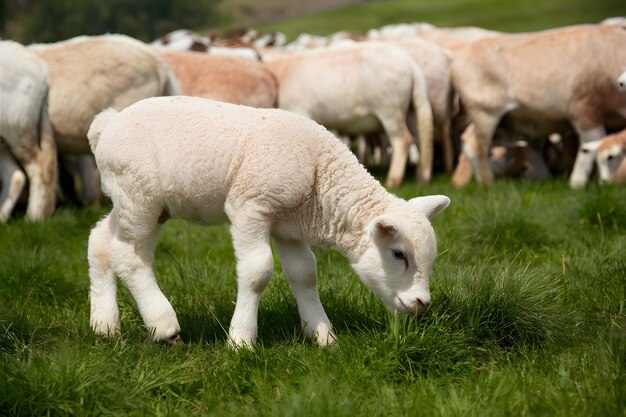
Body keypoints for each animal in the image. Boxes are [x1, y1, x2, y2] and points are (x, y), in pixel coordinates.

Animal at [86, 96, 448, 346]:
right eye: (398, 254)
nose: (422, 304)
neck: (320, 177)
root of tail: (107, 124)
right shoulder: (250, 208)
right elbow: (257, 272)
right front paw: (241, 339)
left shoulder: (289, 226)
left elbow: (305, 274)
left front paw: (322, 335)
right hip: (139, 194)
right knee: (128, 255)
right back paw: (163, 324)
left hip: (134, 201)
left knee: (100, 241)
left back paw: (105, 324)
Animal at [260, 41, 432, 185]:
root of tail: (408, 61)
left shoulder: (299, 110)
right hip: (410, 111)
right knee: (420, 138)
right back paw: (420, 178)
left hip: (390, 110)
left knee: (402, 141)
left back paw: (393, 180)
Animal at [448, 25, 624, 188]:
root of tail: (461, 53)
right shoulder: (583, 110)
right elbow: (589, 147)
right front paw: (577, 184)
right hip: (485, 114)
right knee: (477, 145)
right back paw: (487, 183)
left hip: (504, 121)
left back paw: (542, 178)